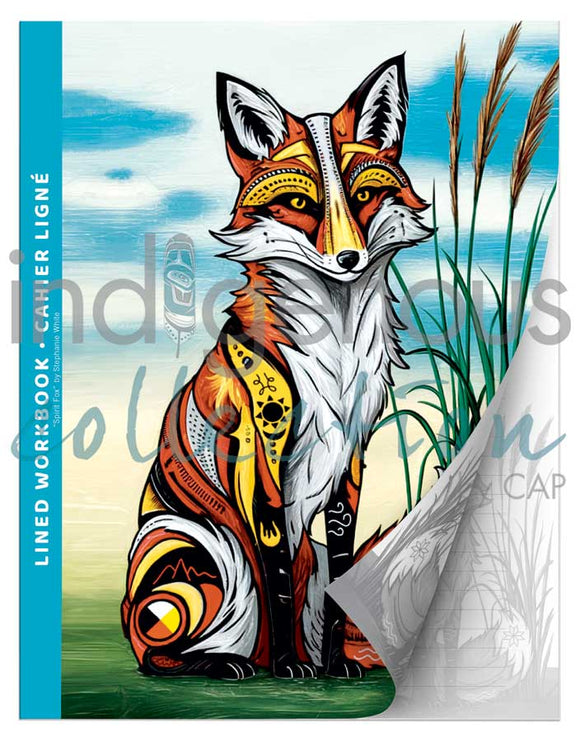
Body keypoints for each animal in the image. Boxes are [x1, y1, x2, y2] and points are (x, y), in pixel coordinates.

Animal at [121, 54, 432, 680]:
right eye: (301, 205)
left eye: (366, 196)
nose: (348, 258)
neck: (336, 350)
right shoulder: (260, 462)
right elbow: (277, 575)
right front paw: (289, 668)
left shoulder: (350, 460)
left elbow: (342, 573)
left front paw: (333, 666)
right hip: (192, 552)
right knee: (159, 653)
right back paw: (226, 663)